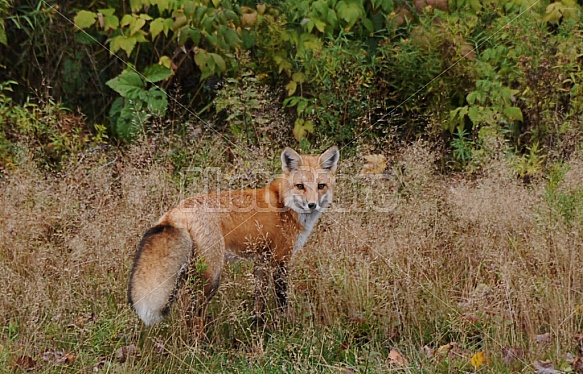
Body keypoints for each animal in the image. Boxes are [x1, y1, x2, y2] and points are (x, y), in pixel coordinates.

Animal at [126, 145, 338, 326]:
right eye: (300, 186)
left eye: (321, 186)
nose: (312, 205)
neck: (284, 204)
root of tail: (176, 210)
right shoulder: (281, 260)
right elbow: (281, 301)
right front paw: (284, 328)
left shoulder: (261, 261)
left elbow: (259, 300)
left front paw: (257, 327)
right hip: (212, 275)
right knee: (193, 312)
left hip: (189, 273)